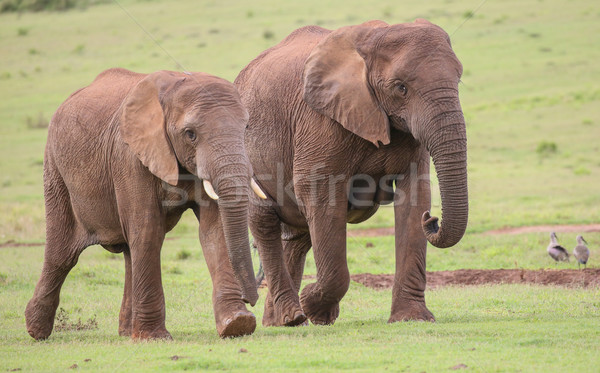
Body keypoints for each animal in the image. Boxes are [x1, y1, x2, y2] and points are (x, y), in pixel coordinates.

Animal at [25, 67, 264, 340]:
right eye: (190, 134)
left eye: (246, 128)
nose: (251, 299)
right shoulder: (129, 157)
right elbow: (149, 229)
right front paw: (155, 337)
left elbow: (214, 231)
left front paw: (237, 324)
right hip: (54, 169)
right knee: (62, 253)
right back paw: (36, 331)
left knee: (129, 250)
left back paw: (127, 332)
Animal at [236, 18, 468, 324]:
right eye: (401, 88)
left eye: (458, 80)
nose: (432, 220)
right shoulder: (319, 120)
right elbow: (320, 196)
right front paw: (316, 307)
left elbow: (415, 197)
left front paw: (412, 318)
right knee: (265, 223)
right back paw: (294, 316)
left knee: (298, 236)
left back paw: (281, 322)